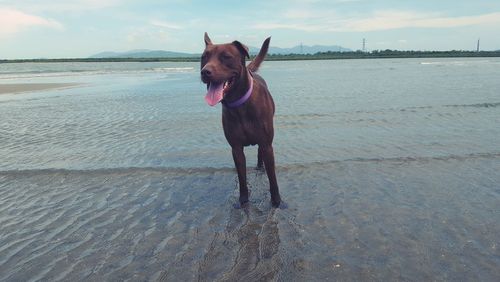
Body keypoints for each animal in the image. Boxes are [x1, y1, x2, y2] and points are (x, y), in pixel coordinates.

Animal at [200, 33, 286, 209]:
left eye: (226, 57)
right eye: (203, 57)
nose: (205, 72)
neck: (239, 104)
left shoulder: (267, 144)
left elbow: (272, 177)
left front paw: (276, 201)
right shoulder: (236, 148)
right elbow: (241, 176)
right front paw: (243, 200)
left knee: (260, 153)